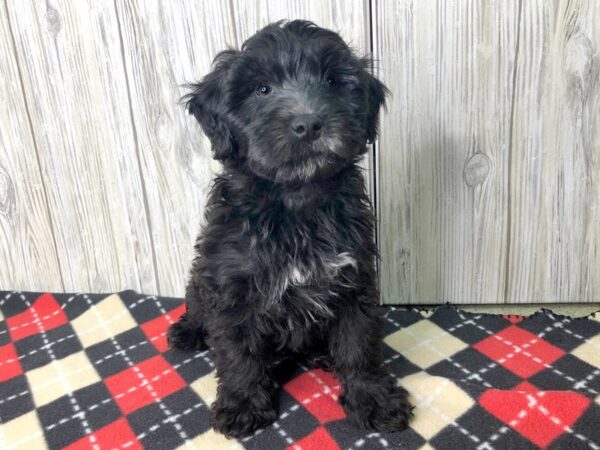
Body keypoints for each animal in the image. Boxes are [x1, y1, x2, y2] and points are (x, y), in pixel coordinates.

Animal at [169, 20, 412, 436]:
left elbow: (359, 344)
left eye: (332, 81)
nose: (309, 124)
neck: (295, 203)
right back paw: (188, 331)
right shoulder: (231, 288)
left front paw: (372, 399)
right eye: (261, 89)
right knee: (197, 307)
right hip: (200, 281)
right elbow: (237, 352)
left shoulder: (354, 278)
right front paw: (243, 404)